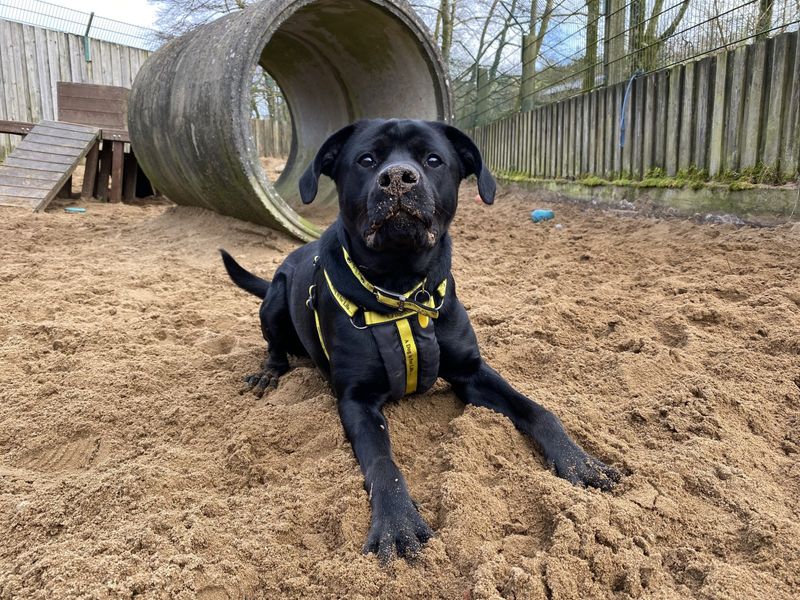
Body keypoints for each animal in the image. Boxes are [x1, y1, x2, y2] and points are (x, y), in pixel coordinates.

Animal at [222, 120, 620, 564]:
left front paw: (578, 461)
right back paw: (268, 373)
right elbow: (384, 462)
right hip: (276, 296)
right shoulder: (356, 400)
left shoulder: (472, 373)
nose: (398, 177)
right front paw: (397, 523)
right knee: (274, 345)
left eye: (432, 159)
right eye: (366, 159)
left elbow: (538, 410)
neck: (402, 289)